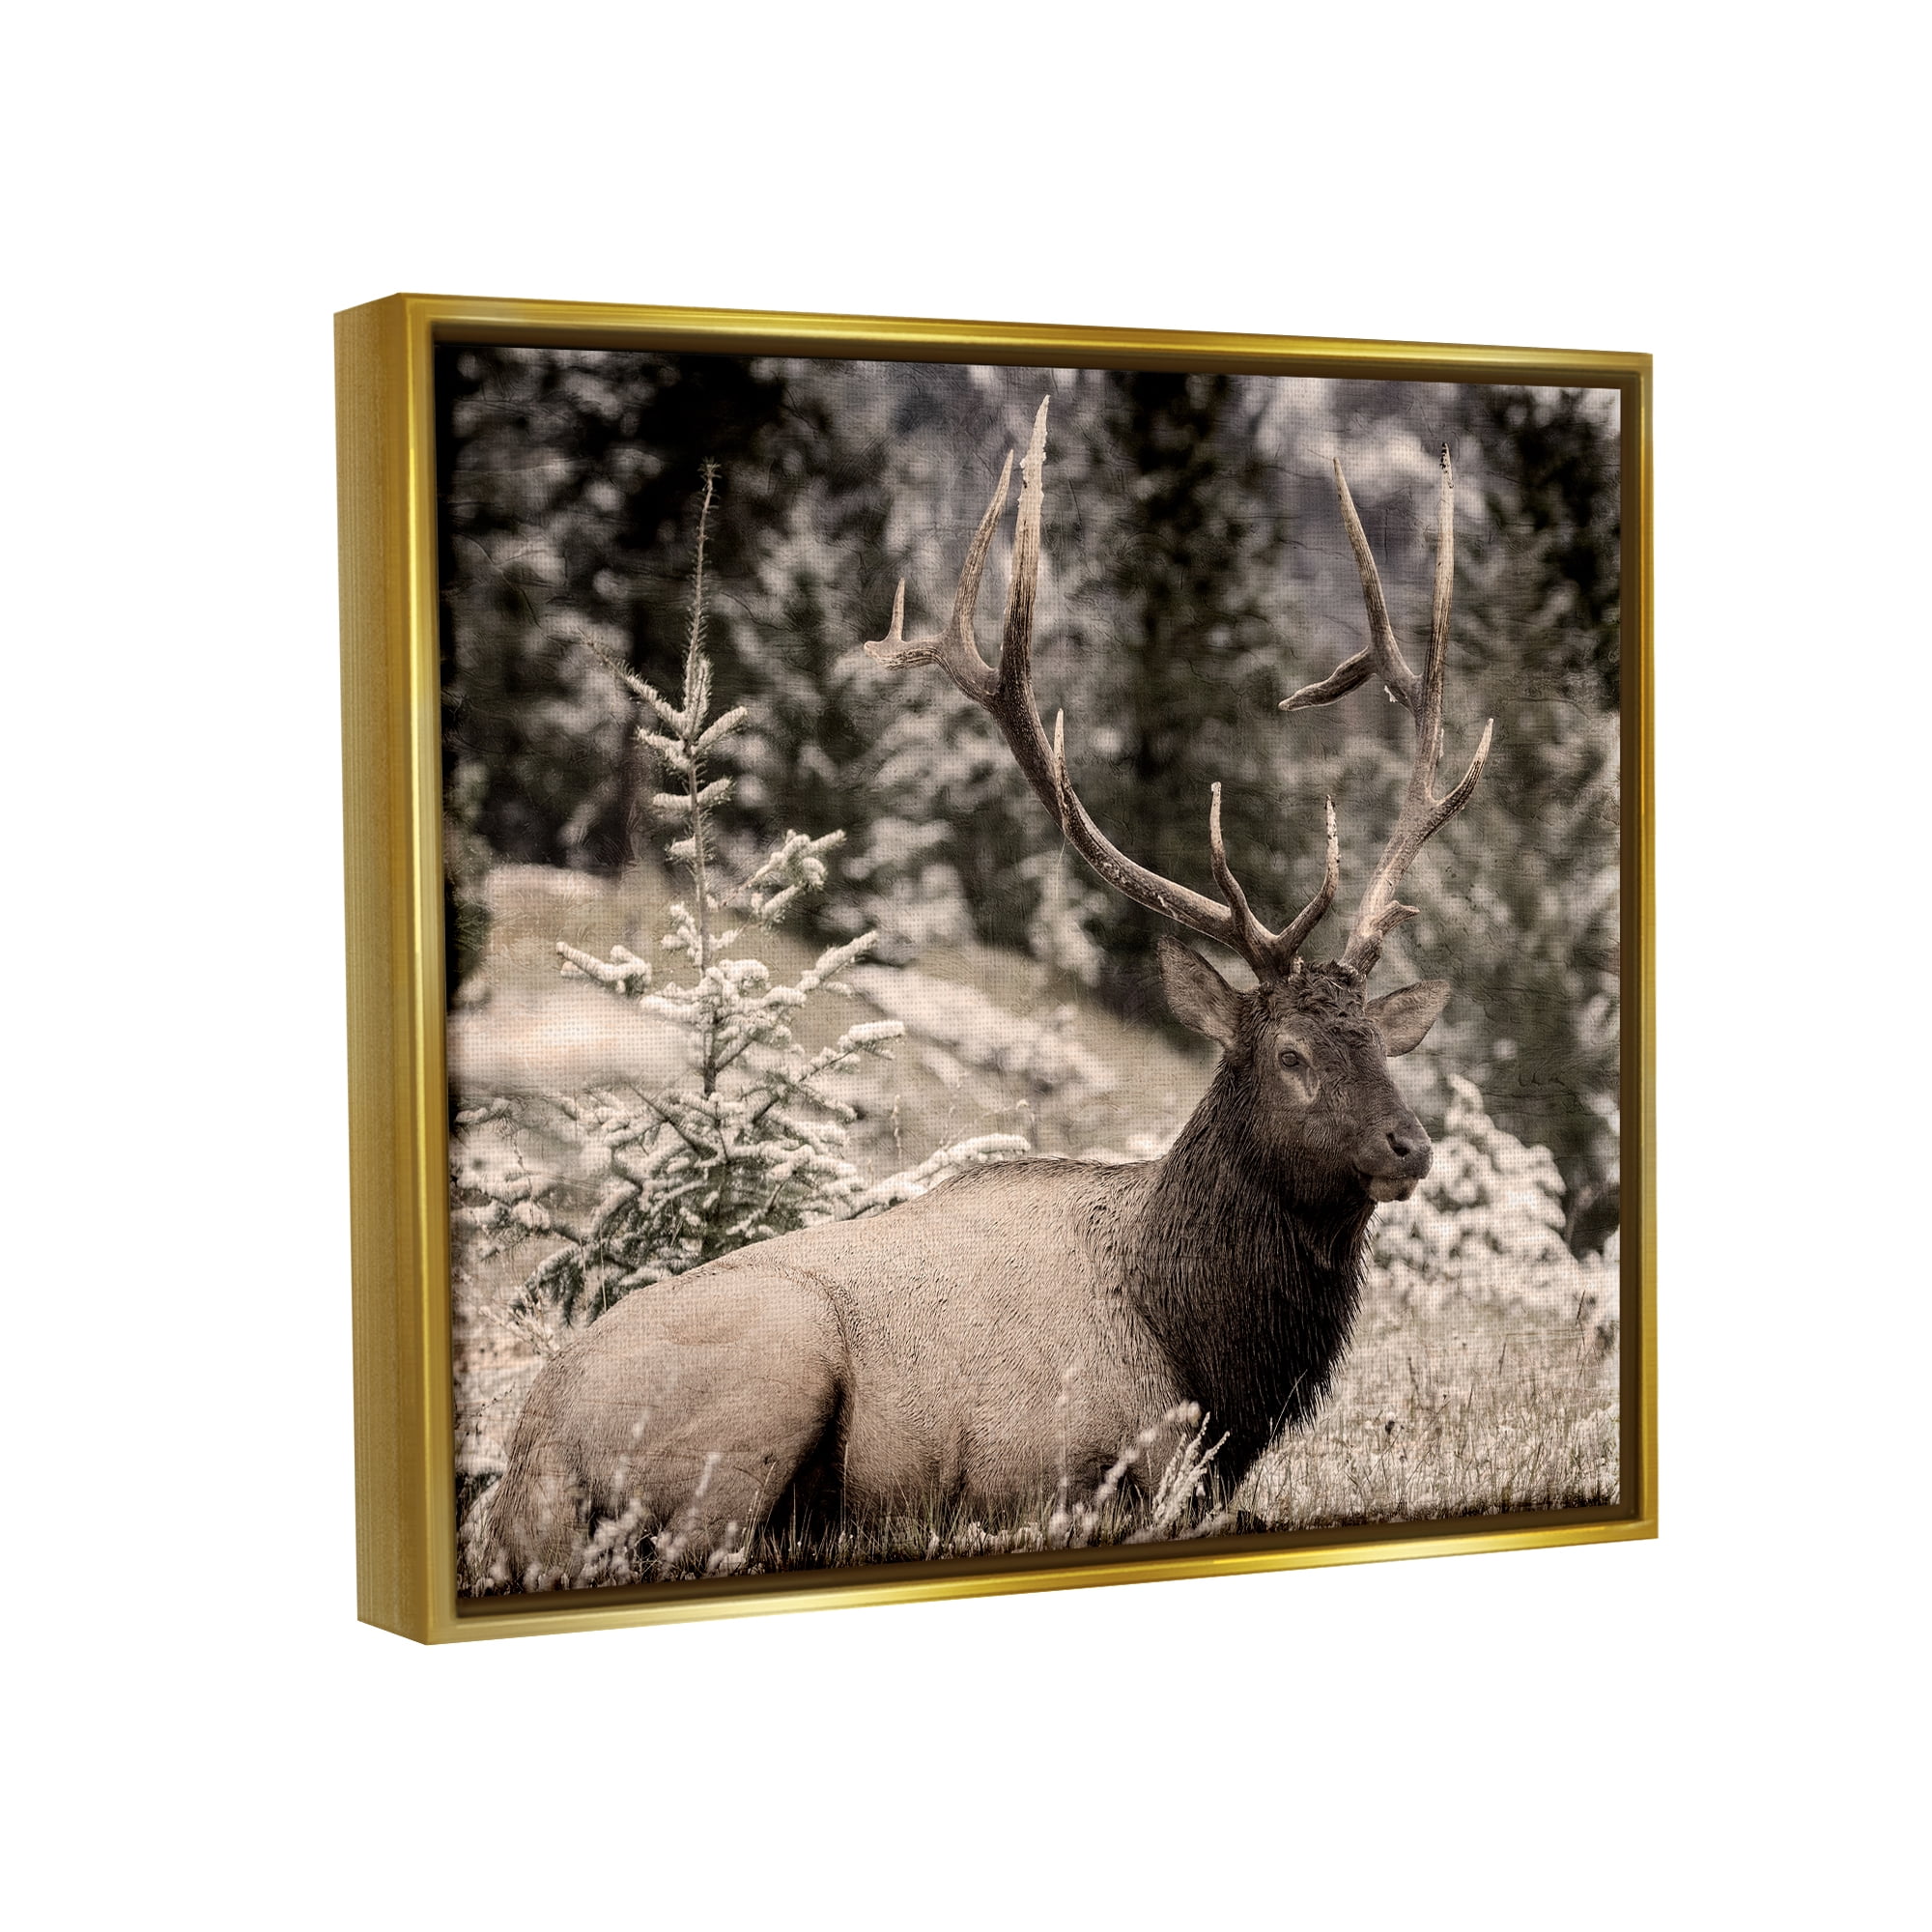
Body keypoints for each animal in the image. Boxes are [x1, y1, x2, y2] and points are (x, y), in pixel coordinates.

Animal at [481, 397, 1491, 1590]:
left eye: (1381, 1044)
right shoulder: (1062, 1461)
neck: (1204, 1352)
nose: (1407, 1144)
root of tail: (525, 1466)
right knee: (703, 1545)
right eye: (1289, 1054)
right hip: (772, 1366)